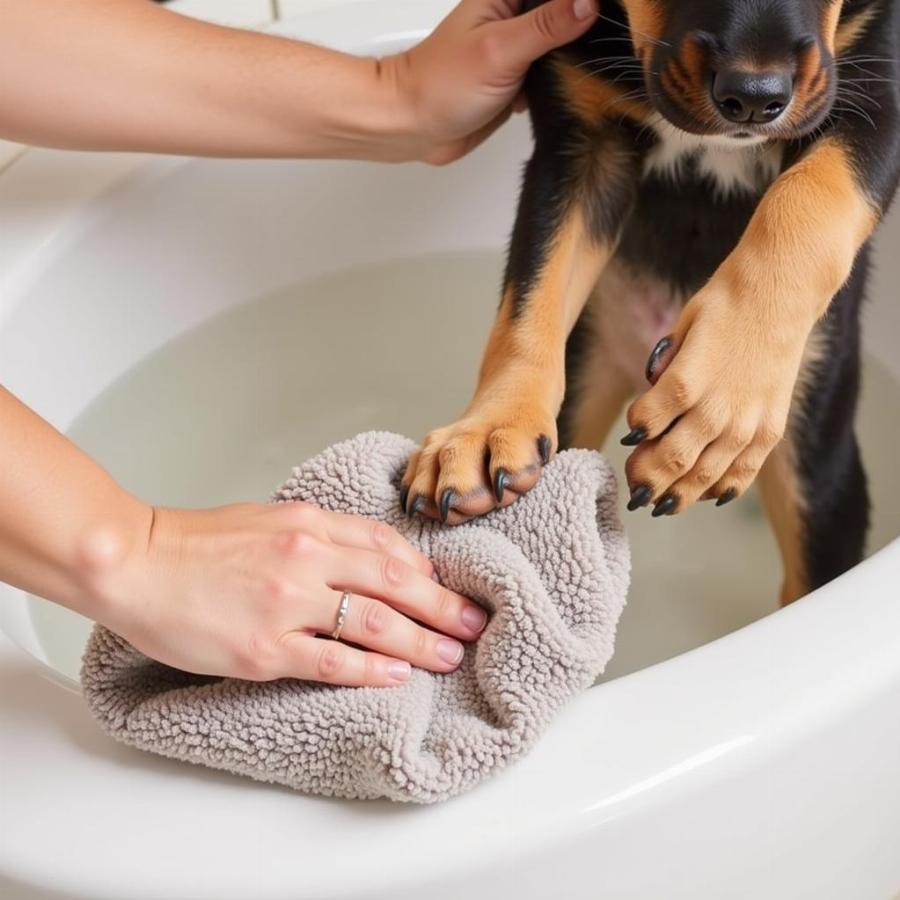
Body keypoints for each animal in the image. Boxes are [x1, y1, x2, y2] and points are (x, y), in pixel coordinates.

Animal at [404, 1, 900, 604]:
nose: (753, 97)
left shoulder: (877, 97)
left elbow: (812, 194)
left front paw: (718, 399)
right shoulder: (579, 138)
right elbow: (532, 284)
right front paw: (488, 425)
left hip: (819, 460)